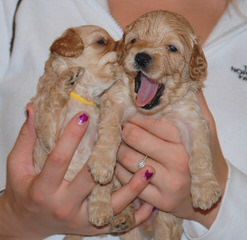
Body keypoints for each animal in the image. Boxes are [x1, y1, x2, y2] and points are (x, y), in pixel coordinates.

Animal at [31, 25, 135, 239]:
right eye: (102, 41)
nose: (124, 46)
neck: (84, 96)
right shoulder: (49, 135)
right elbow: (52, 102)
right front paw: (66, 79)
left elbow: (102, 183)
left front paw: (101, 210)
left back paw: (123, 220)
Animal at [93, 10, 223, 239]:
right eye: (133, 40)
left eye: (172, 48)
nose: (141, 56)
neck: (154, 111)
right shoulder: (115, 101)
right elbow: (110, 131)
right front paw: (101, 162)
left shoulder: (193, 119)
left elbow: (201, 154)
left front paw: (205, 189)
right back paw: (114, 214)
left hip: (166, 221)